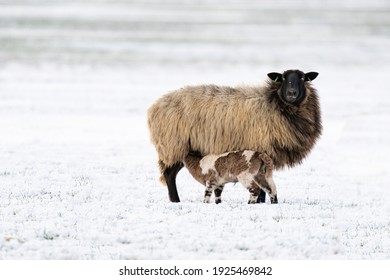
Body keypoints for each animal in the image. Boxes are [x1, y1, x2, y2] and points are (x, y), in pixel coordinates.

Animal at [148, 69, 322, 202]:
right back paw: (175, 200)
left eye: (302, 78)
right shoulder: (261, 149)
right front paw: (260, 202)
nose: (292, 93)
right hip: (173, 146)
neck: (274, 104)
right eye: (284, 78)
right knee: (169, 175)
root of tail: (155, 106)